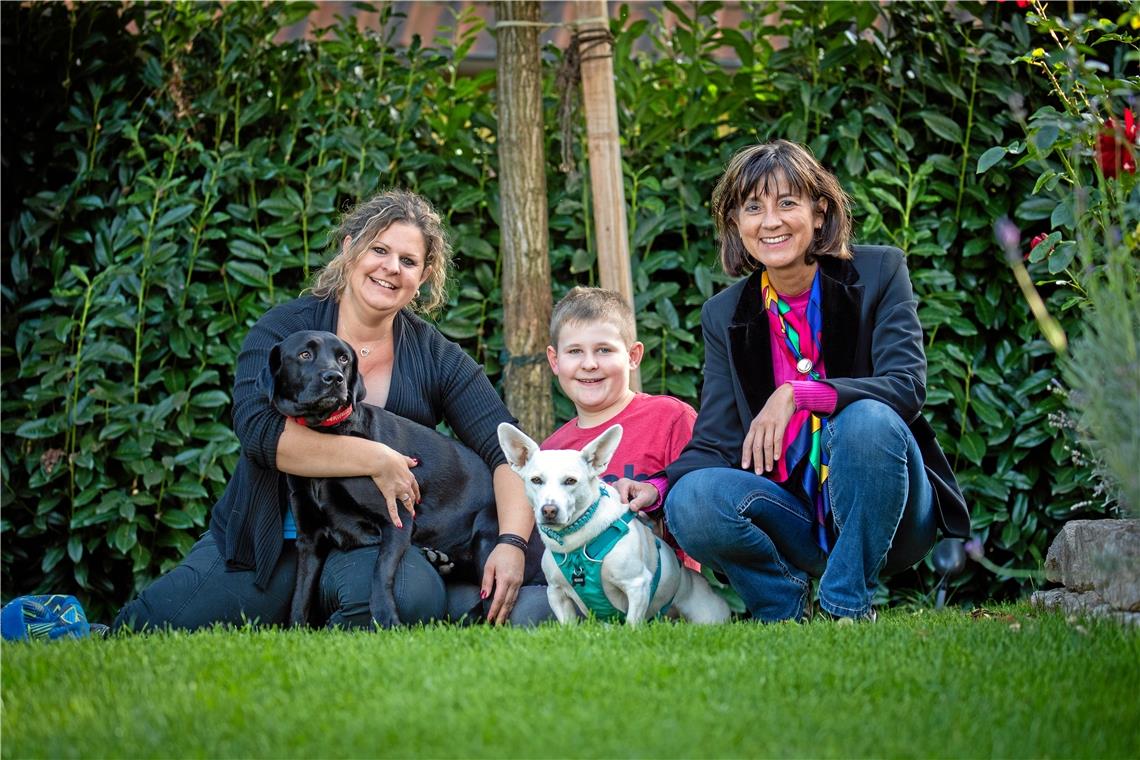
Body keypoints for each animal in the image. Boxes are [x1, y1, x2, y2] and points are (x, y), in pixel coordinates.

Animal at [269, 330, 506, 628]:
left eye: (344, 358)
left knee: (492, 603)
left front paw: (385, 618)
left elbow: (380, 572)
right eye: (304, 354)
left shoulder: (398, 520)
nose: (335, 378)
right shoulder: (309, 539)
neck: (328, 434)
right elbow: (300, 596)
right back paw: (440, 561)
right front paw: (296, 629)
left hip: (488, 526)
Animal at [499, 426, 729, 628]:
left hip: (707, 616)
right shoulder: (556, 594)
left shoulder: (637, 586)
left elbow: (631, 625)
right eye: (536, 480)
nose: (549, 510)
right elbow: (567, 626)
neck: (575, 542)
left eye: (571, 481)